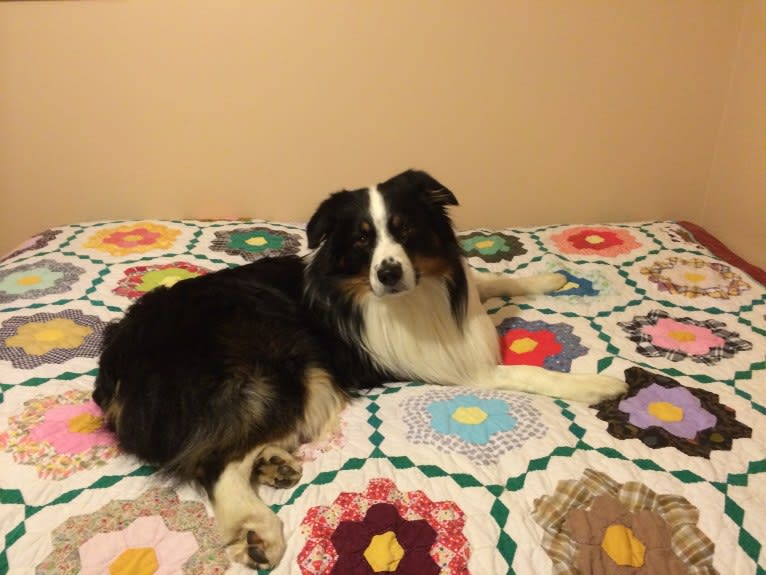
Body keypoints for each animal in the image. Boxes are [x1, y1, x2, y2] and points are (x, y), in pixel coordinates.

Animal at [93, 169, 628, 568]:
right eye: (361, 240)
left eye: (406, 229)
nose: (388, 273)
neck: (418, 294)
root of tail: (117, 360)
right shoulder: (456, 369)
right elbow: (531, 373)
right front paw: (596, 384)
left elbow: (493, 281)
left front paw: (546, 278)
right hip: (283, 362)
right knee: (214, 460)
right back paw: (257, 529)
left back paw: (274, 463)